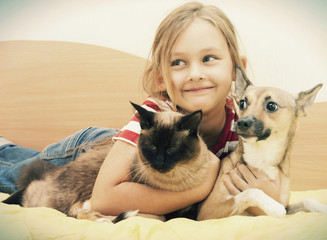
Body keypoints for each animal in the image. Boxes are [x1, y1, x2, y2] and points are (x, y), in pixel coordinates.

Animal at [197, 66, 326, 221]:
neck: (262, 157)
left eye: (271, 106)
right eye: (242, 103)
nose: (241, 123)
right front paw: (274, 207)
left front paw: (322, 208)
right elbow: (251, 191)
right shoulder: (209, 210)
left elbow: (307, 200)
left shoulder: (287, 205)